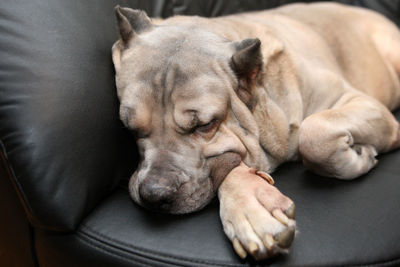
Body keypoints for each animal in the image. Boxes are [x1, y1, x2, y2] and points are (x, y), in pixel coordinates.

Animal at [111, 2, 400, 262]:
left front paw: (359, 156)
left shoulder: (360, 102)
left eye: (204, 125)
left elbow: (315, 133)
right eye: (130, 127)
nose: (154, 194)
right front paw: (251, 207)